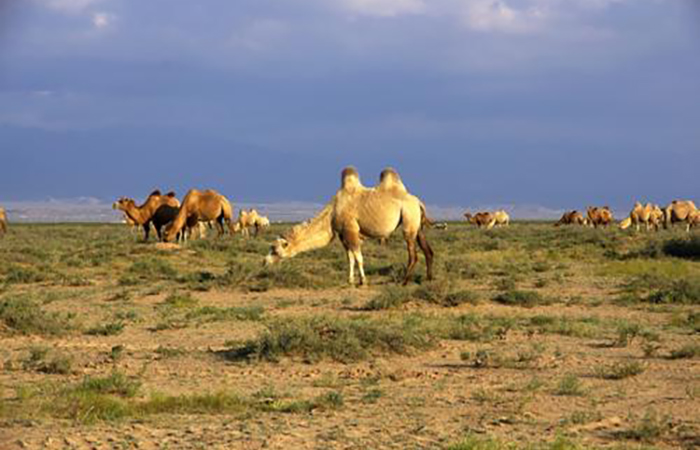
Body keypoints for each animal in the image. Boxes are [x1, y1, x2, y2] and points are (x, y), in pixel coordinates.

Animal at [266, 167, 434, 286]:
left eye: (275, 250)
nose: (264, 262)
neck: (332, 212)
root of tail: (418, 202)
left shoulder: (350, 230)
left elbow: (358, 257)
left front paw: (363, 281)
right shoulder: (342, 235)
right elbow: (350, 258)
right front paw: (350, 281)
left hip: (408, 220)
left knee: (413, 254)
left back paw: (404, 282)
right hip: (417, 226)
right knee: (428, 250)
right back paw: (428, 278)